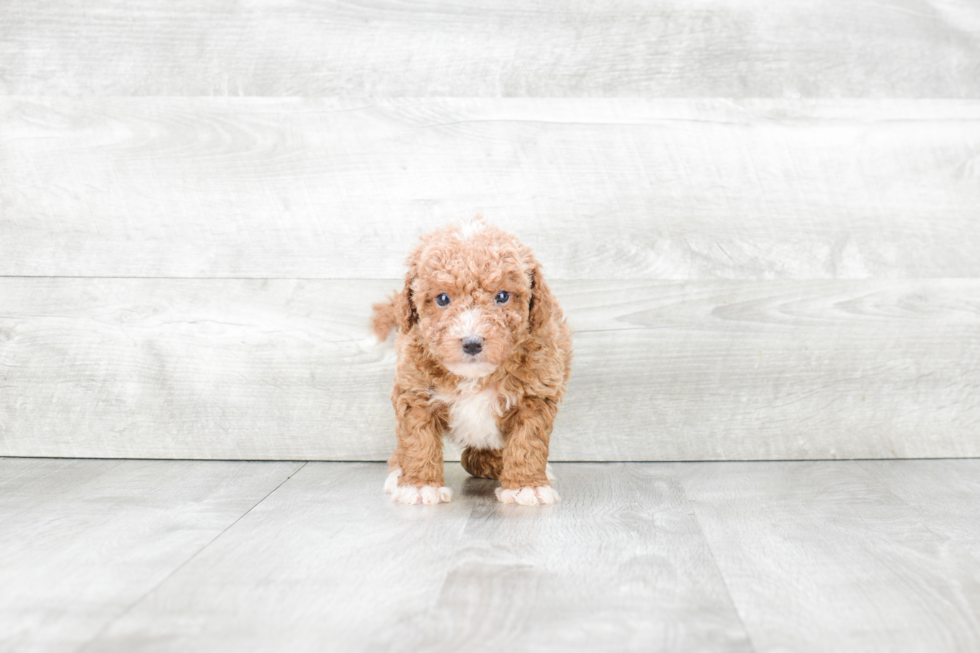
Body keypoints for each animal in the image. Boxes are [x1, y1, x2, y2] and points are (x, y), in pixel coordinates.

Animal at [376, 218, 576, 504]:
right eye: (443, 298)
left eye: (502, 296)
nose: (471, 343)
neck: (475, 376)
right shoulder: (414, 391)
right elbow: (418, 440)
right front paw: (419, 484)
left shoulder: (535, 395)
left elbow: (527, 443)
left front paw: (526, 486)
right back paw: (398, 472)